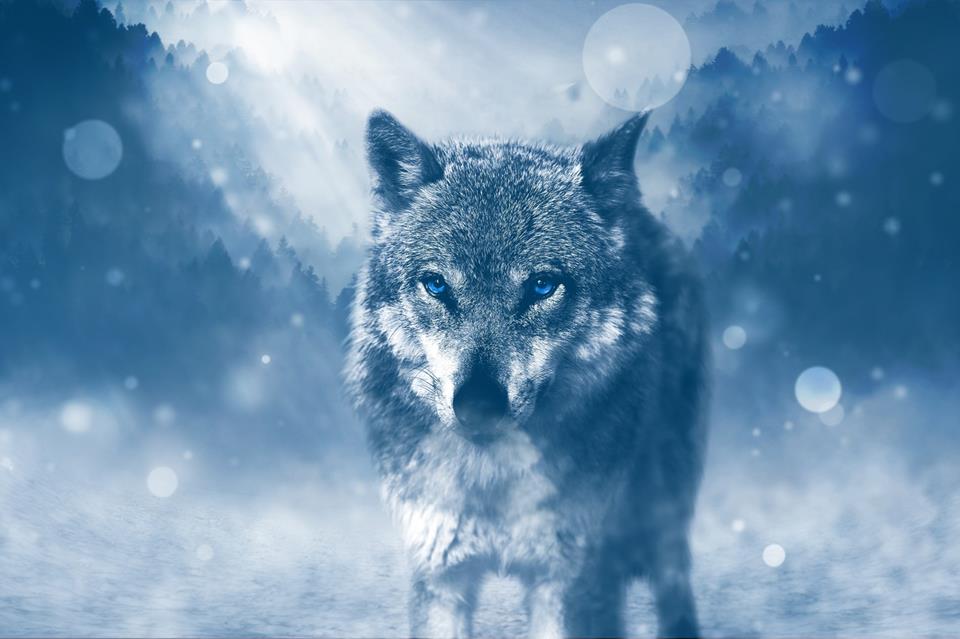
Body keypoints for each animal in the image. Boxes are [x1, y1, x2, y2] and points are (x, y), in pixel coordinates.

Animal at [344, 109, 709, 639]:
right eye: (436, 284)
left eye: (542, 285)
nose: (478, 405)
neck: (492, 482)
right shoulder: (440, 573)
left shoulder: (569, 579)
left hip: (663, 503)